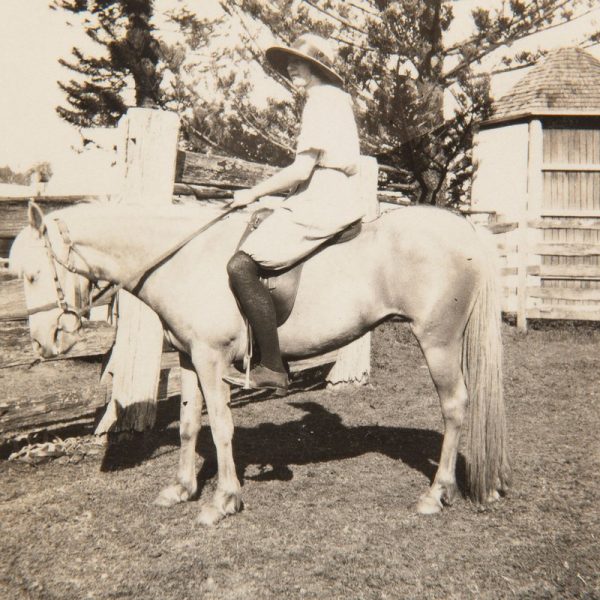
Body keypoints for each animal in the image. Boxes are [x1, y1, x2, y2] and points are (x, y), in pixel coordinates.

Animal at [9, 202, 508, 524]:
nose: (44, 343)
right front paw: (183, 489)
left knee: (455, 406)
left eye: (33, 275)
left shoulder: (212, 360)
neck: (185, 257)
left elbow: (221, 428)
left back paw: (436, 493)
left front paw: (222, 500)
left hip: (438, 342)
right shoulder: (190, 358)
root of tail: (466, 231)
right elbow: (189, 426)